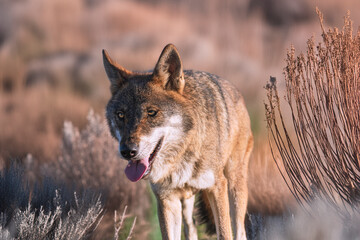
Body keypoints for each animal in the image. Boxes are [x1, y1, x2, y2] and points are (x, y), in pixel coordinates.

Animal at [101, 44, 253, 239]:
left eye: (152, 113)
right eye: (120, 115)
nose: (127, 151)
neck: (182, 155)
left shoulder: (217, 188)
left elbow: (225, 234)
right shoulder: (167, 200)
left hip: (235, 185)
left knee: (240, 230)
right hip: (187, 202)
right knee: (191, 228)